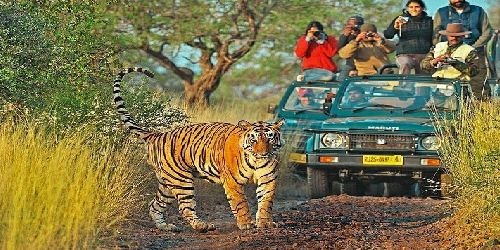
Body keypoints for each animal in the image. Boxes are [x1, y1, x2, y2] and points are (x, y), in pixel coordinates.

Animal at [113, 67, 286, 232]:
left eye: (270, 138)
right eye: (253, 139)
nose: (262, 153)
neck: (255, 161)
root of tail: (158, 134)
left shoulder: (268, 179)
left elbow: (266, 202)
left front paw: (265, 223)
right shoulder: (232, 182)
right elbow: (240, 203)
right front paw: (246, 224)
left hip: (167, 183)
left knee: (154, 205)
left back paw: (166, 227)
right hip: (181, 181)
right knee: (185, 208)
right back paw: (202, 226)